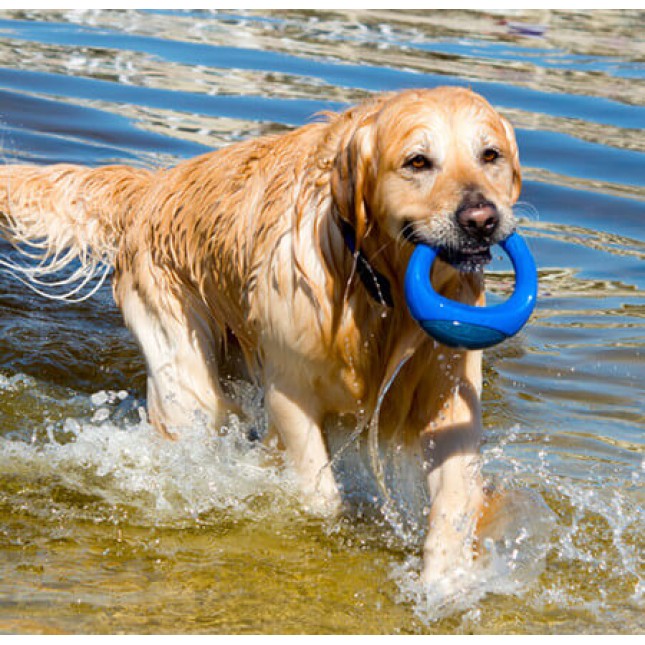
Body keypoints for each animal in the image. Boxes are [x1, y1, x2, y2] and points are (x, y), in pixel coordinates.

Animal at [0, 87, 520, 584]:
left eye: (489, 155)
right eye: (418, 161)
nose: (481, 219)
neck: (377, 290)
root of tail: (153, 185)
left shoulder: (447, 393)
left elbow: (456, 497)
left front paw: (446, 582)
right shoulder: (290, 388)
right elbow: (320, 492)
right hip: (183, 368)